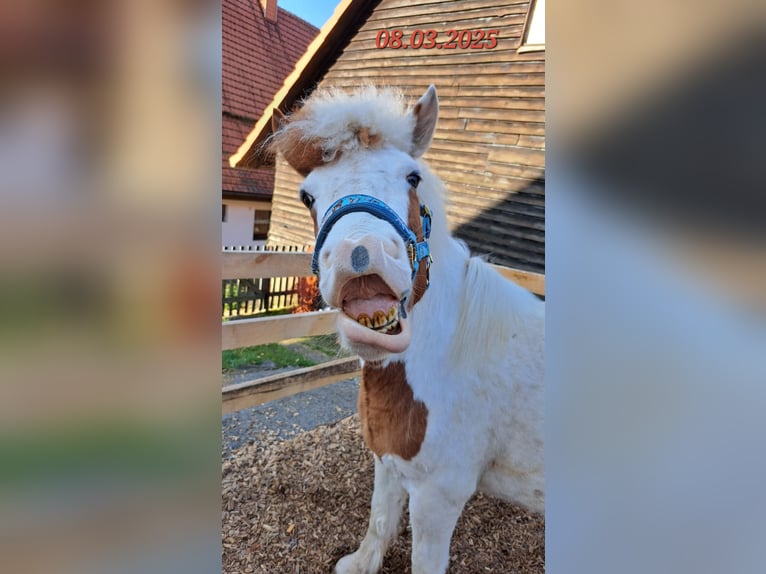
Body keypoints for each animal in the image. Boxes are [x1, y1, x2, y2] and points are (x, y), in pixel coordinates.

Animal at [269, 85, 544, 574]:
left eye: (412, 178)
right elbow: (379, 519)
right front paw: (359, 564)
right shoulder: (388, 459)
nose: (360, 256)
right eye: (307, 196)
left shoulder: (438, 498)